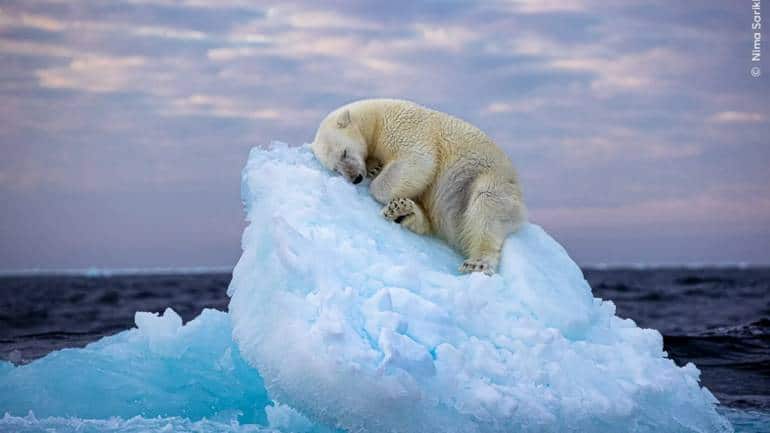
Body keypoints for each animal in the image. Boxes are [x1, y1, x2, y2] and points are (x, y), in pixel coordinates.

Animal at [311, 99, 526, 274]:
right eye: (335, 168)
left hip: (489, 179)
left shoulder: (402, 127)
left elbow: (418, 161)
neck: (375, 118)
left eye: (344, 152)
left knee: (486, 207)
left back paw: (477, 263)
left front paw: (377, 179)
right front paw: (375, 168)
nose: (355, 177)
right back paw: (402, 211)